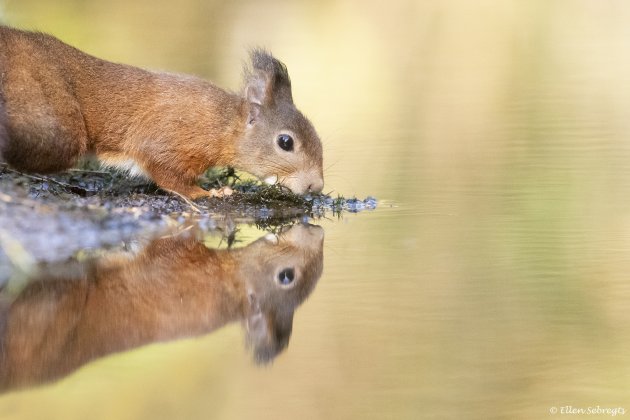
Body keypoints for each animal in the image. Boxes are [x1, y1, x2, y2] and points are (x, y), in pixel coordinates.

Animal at [0, 26, 326, 199]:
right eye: (286, 142)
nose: (316, 186)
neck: (221, 125)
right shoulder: (167, 135)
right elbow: (165, 172)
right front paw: (205, 193)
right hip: (53, 123)